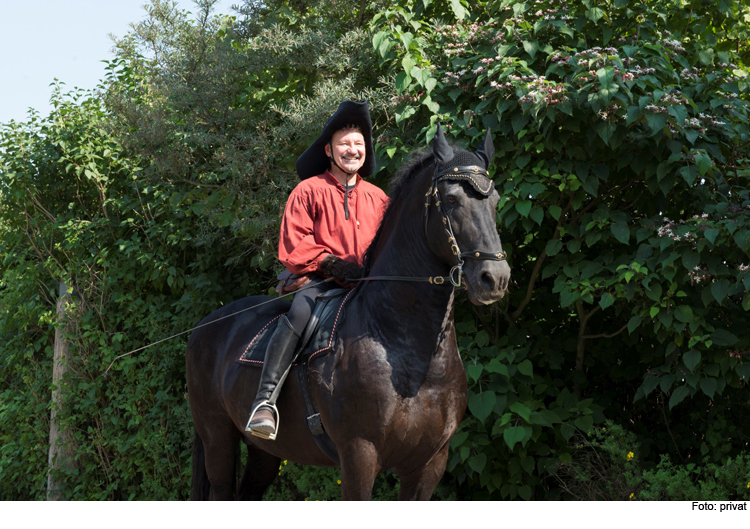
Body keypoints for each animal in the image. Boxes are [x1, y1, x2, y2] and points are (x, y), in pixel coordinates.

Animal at [187, 126, 512, 498]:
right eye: (453, 200)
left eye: (495, 200)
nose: (494, 279)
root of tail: (206, 326)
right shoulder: (359, 455)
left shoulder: (429, 465)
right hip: (218, 441)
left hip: (264, 453)